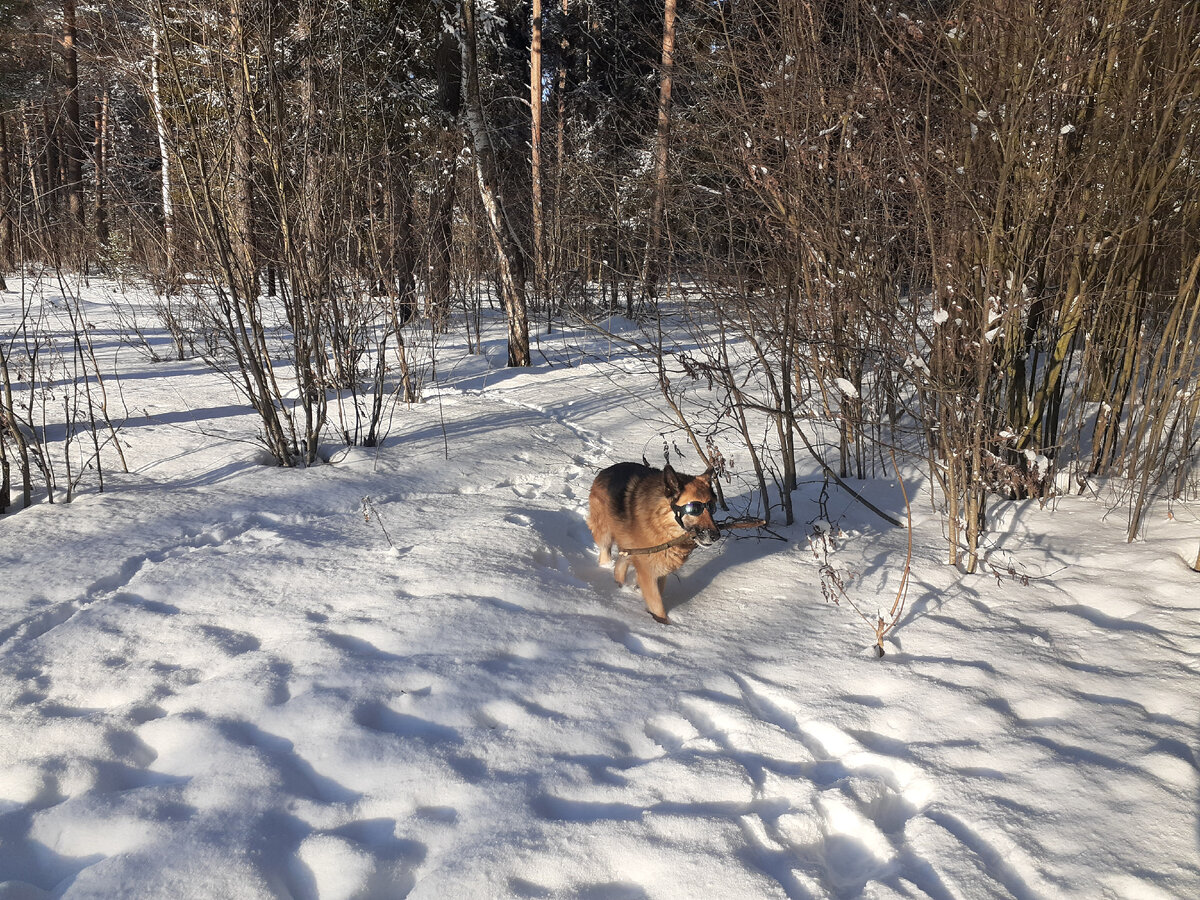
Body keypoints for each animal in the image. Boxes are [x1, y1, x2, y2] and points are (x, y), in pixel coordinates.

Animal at [585, 460, 715, 624]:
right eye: (694, 509)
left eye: (713, 508)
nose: (716, 535)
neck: (661, 523)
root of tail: (605, 470)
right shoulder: (648, 572)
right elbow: (658, 606)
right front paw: (661, 625)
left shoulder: (660, 570)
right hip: (605, 534)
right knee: (605, 555)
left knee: (620, 566)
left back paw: (621, 588)